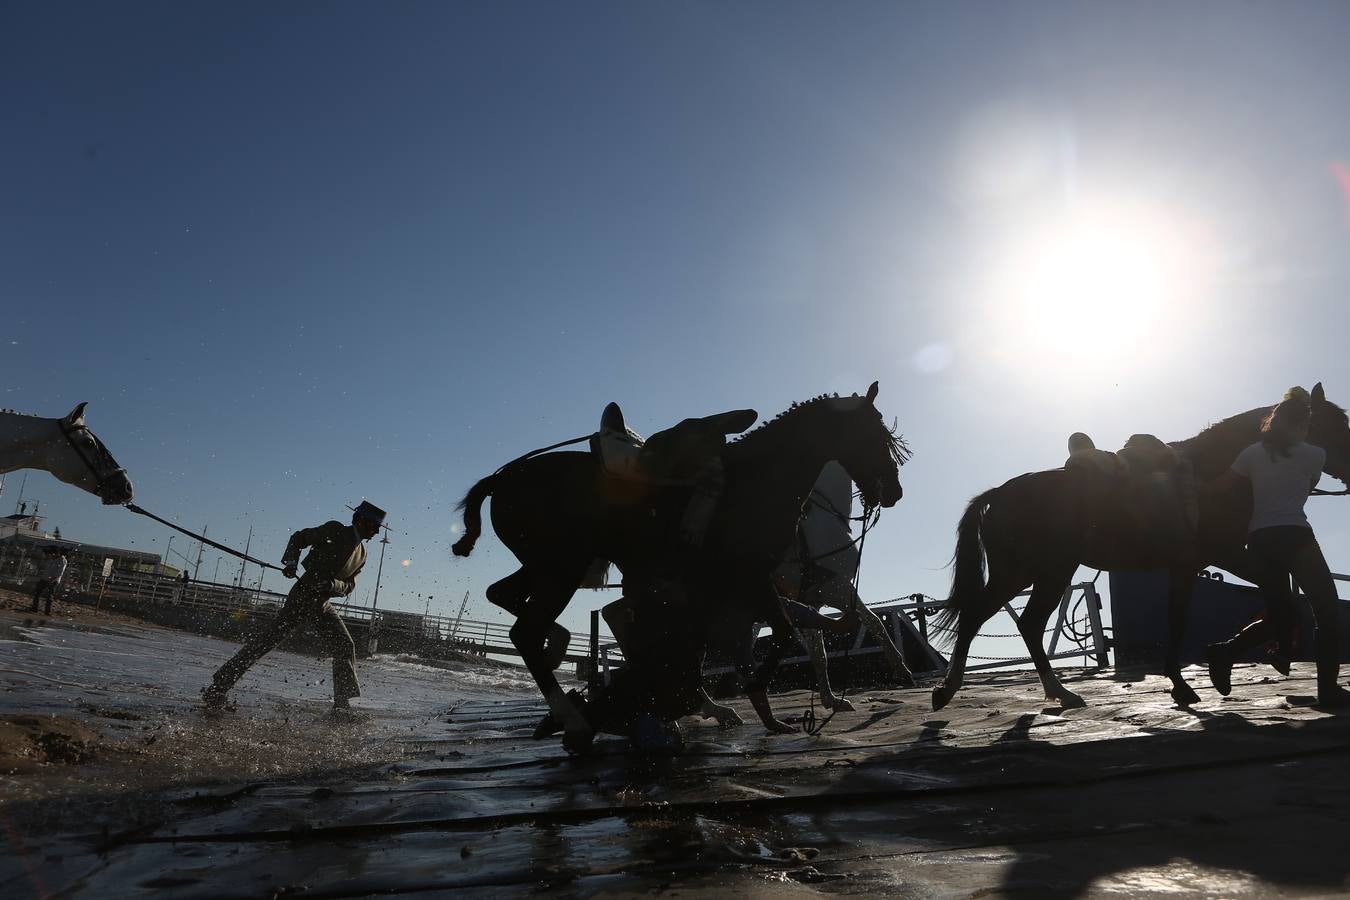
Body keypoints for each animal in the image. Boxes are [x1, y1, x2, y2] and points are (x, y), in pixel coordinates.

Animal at [453, 383, 907, 750]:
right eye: (875, 436)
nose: (894, 492)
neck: (762, 481)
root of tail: (503, 478)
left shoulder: (759, 589)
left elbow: (794, 637)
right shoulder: (758, 583)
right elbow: (785, 634)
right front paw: (754, 694)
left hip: (548, 567)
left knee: (505, 598)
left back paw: (565, 659)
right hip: (561, 569)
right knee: (527, 632)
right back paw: (576, 719)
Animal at [934, 380, 1350, 712]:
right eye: (1334, 425)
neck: (1213, 474)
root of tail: (999, 493)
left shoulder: (1198, 564)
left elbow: (1190, 617)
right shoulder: (1220, 556)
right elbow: (1183, 621)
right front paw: (1189, 682)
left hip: (1032, 573)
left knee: (1008, 620)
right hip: (1041, 572)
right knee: (1002, 619)